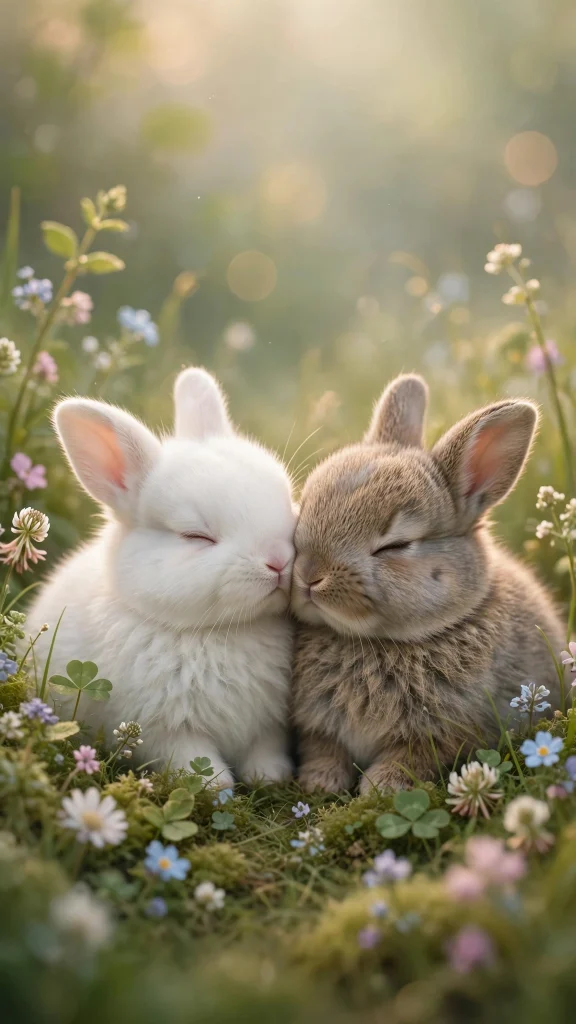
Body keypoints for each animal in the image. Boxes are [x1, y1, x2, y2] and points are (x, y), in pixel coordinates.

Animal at [27, 368, 296, 788]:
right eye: (196, 537)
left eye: (287, 501)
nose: (279, 561)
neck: (220, 632)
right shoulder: (165, 731)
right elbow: (196, 760)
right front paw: (216, 786)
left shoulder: (268, 724)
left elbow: (265, 749)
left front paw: (270, 776)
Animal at [291, 373, 564, 794]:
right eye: (304, 507)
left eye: (395, 546)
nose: (308, 574)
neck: (379, 643)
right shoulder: (319, 728)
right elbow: (324, 747)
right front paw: (319, 782)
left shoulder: (445, 733)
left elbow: (411, 758)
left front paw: (380, 788)